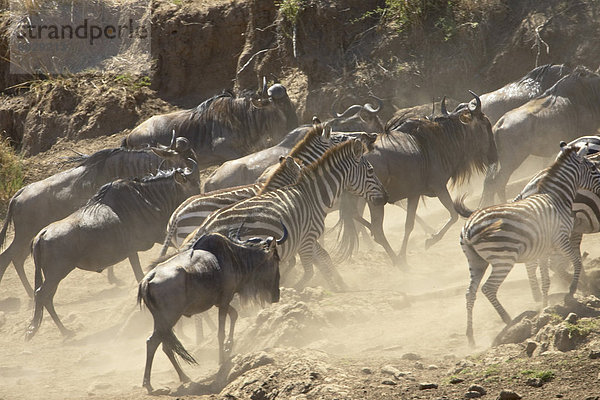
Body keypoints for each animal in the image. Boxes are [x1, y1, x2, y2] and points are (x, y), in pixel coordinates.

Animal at [454, 144, 600, 346]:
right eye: (593, 167)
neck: (555, 197)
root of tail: (468, 227)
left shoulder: (545, 248)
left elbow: (546, 279)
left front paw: (545, 306)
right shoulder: (561, 238)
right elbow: (576, 261)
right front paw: (571, 291)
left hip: (476, 262)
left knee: (470, 293)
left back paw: (470, 336)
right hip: (504, 258)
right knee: (488, 288)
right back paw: (508, 319)